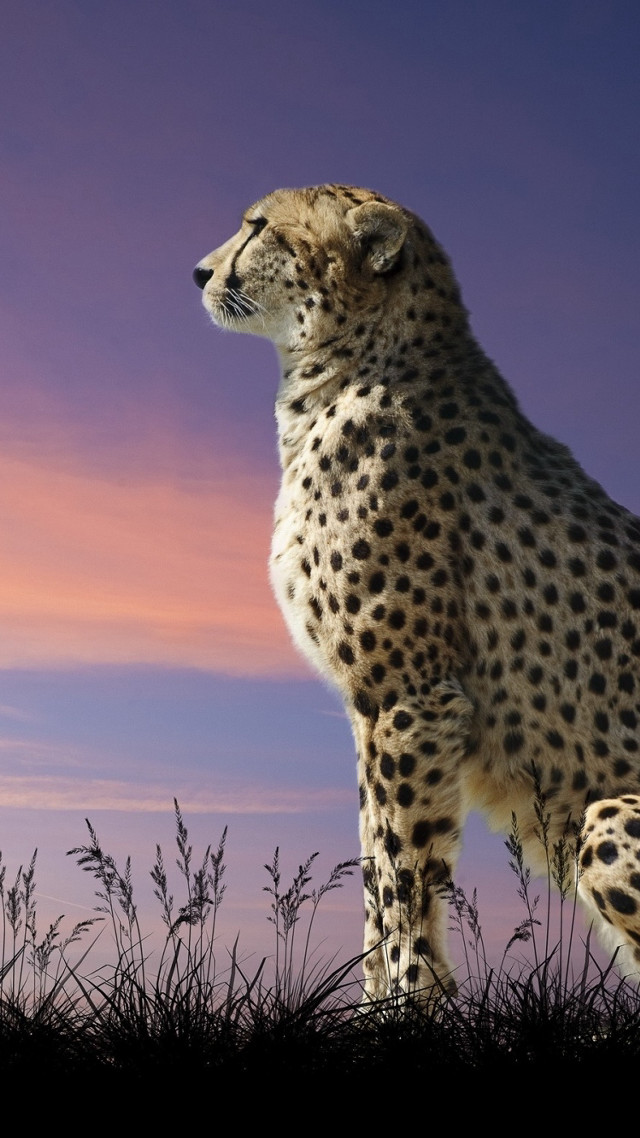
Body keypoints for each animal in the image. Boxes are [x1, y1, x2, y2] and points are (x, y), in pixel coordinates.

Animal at [193, 184, 640, 1001]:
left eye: (259, 227)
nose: (199, 273)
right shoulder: (370, 707)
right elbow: (376, 863)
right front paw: (375, 998)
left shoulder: (409, 694)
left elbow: (406, 872)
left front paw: (406, 1001)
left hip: (606, 818)